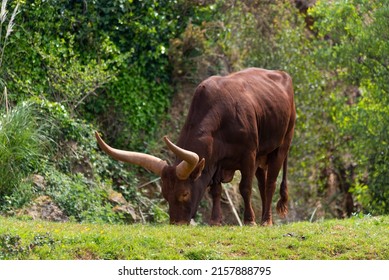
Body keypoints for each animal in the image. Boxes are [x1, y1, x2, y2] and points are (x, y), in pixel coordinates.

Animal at [95, 67, 296, 225]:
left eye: (184, 193)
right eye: (165, 193)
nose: (177, 223)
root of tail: (283, 75)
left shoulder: (248, 155)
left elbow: (245, 188)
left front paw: (249, 220)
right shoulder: (215, 162)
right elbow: (215, 190)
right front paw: (215, 221)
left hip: (282, 145)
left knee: (270, 183)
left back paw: (265, 220)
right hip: (263, 154)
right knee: (262, 182)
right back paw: (265, 218)